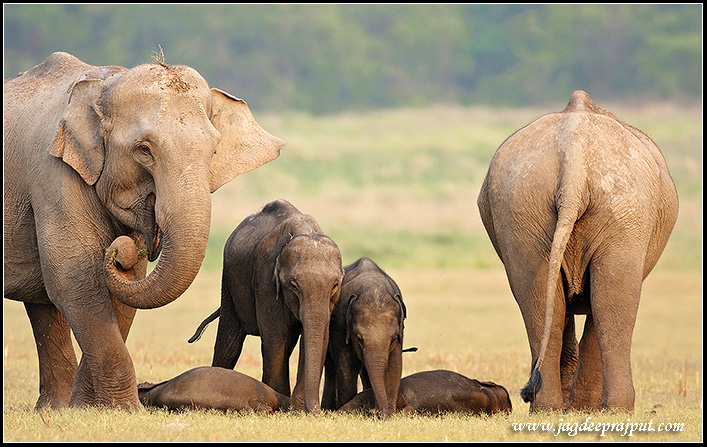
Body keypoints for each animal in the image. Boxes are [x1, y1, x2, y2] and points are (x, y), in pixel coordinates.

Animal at [188, 199, 344, 414]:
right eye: (293, 285)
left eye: (335, 284)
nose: (316, 411)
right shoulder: (265, 281)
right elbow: (275, 337)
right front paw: (282, 406)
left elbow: (317, 337)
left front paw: (298, 410)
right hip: (228, 281)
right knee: (229, 344)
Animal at [321, 257, 407, 417]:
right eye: (359, 338)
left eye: (393, 338)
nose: (381, 414)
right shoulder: (340, 324)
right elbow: (347, 367)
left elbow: (395, 365)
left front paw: (389, 415)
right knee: (331, 368)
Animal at [477, 90, 679, 412]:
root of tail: (575, 158)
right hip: (622, 211)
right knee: (608, 301)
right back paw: (606, 409)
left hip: (523, 207)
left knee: (544, 299)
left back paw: (548, 408)